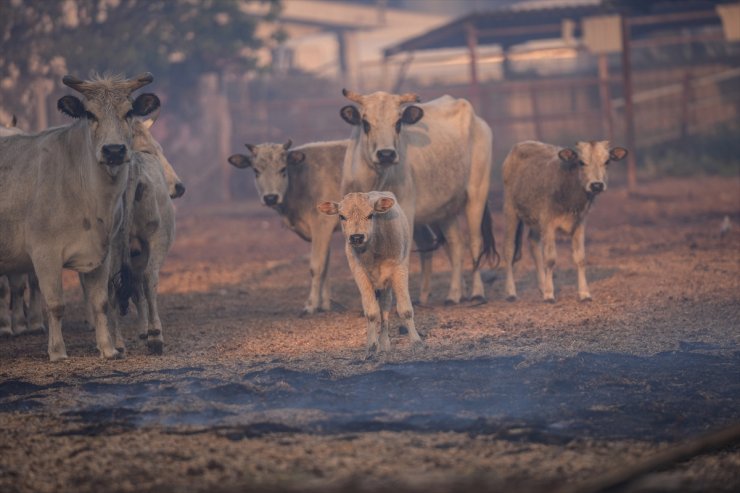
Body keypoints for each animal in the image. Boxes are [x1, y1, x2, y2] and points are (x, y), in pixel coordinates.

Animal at [0, 71, 160, 360]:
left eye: (129, 111)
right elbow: (55, 304)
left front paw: (108, 349)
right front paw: (57, 352)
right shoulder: (44, 252)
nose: (114, 150)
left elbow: (100, 301)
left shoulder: (102, 253)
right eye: (90, 114)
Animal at [227, 140, 346, 314]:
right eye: (256, 170)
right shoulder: (324, 231)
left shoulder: (322, 224)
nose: (270, 197)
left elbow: (316, 266)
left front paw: (310, 305)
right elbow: (326, 267)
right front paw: (324, 305)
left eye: (283, 169)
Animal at [318, 190, 422, 356]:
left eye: (370, 215)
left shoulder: (399, 269)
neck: (373, 251)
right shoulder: (359, 273)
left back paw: (385, 343)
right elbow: (371, 312)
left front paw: (417, 342)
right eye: (342, 216)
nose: (356, 237)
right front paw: (371, 346)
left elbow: (405, 309)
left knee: (385, 307)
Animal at [342, 89, 498, 304]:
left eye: (398, 123)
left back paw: (476, 293)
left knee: (474, 241)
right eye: (365, 123)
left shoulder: (405, 213)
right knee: (455, 245)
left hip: (477, 195)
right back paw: (453, 294)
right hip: (443, 212)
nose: (386, 154)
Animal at [500, 138, 628, 300]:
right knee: (509, 249)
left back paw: (542, 286)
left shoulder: (579, 223)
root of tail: (521, 144)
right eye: (581, 162)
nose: (596, 185)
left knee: (533, 243)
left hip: (535, 220)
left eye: (607, 161)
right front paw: (549, 294)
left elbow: (580, 258)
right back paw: (511, 292)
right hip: (510, 209)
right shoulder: (548, 223)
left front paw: (584, 293)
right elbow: (550, 258)